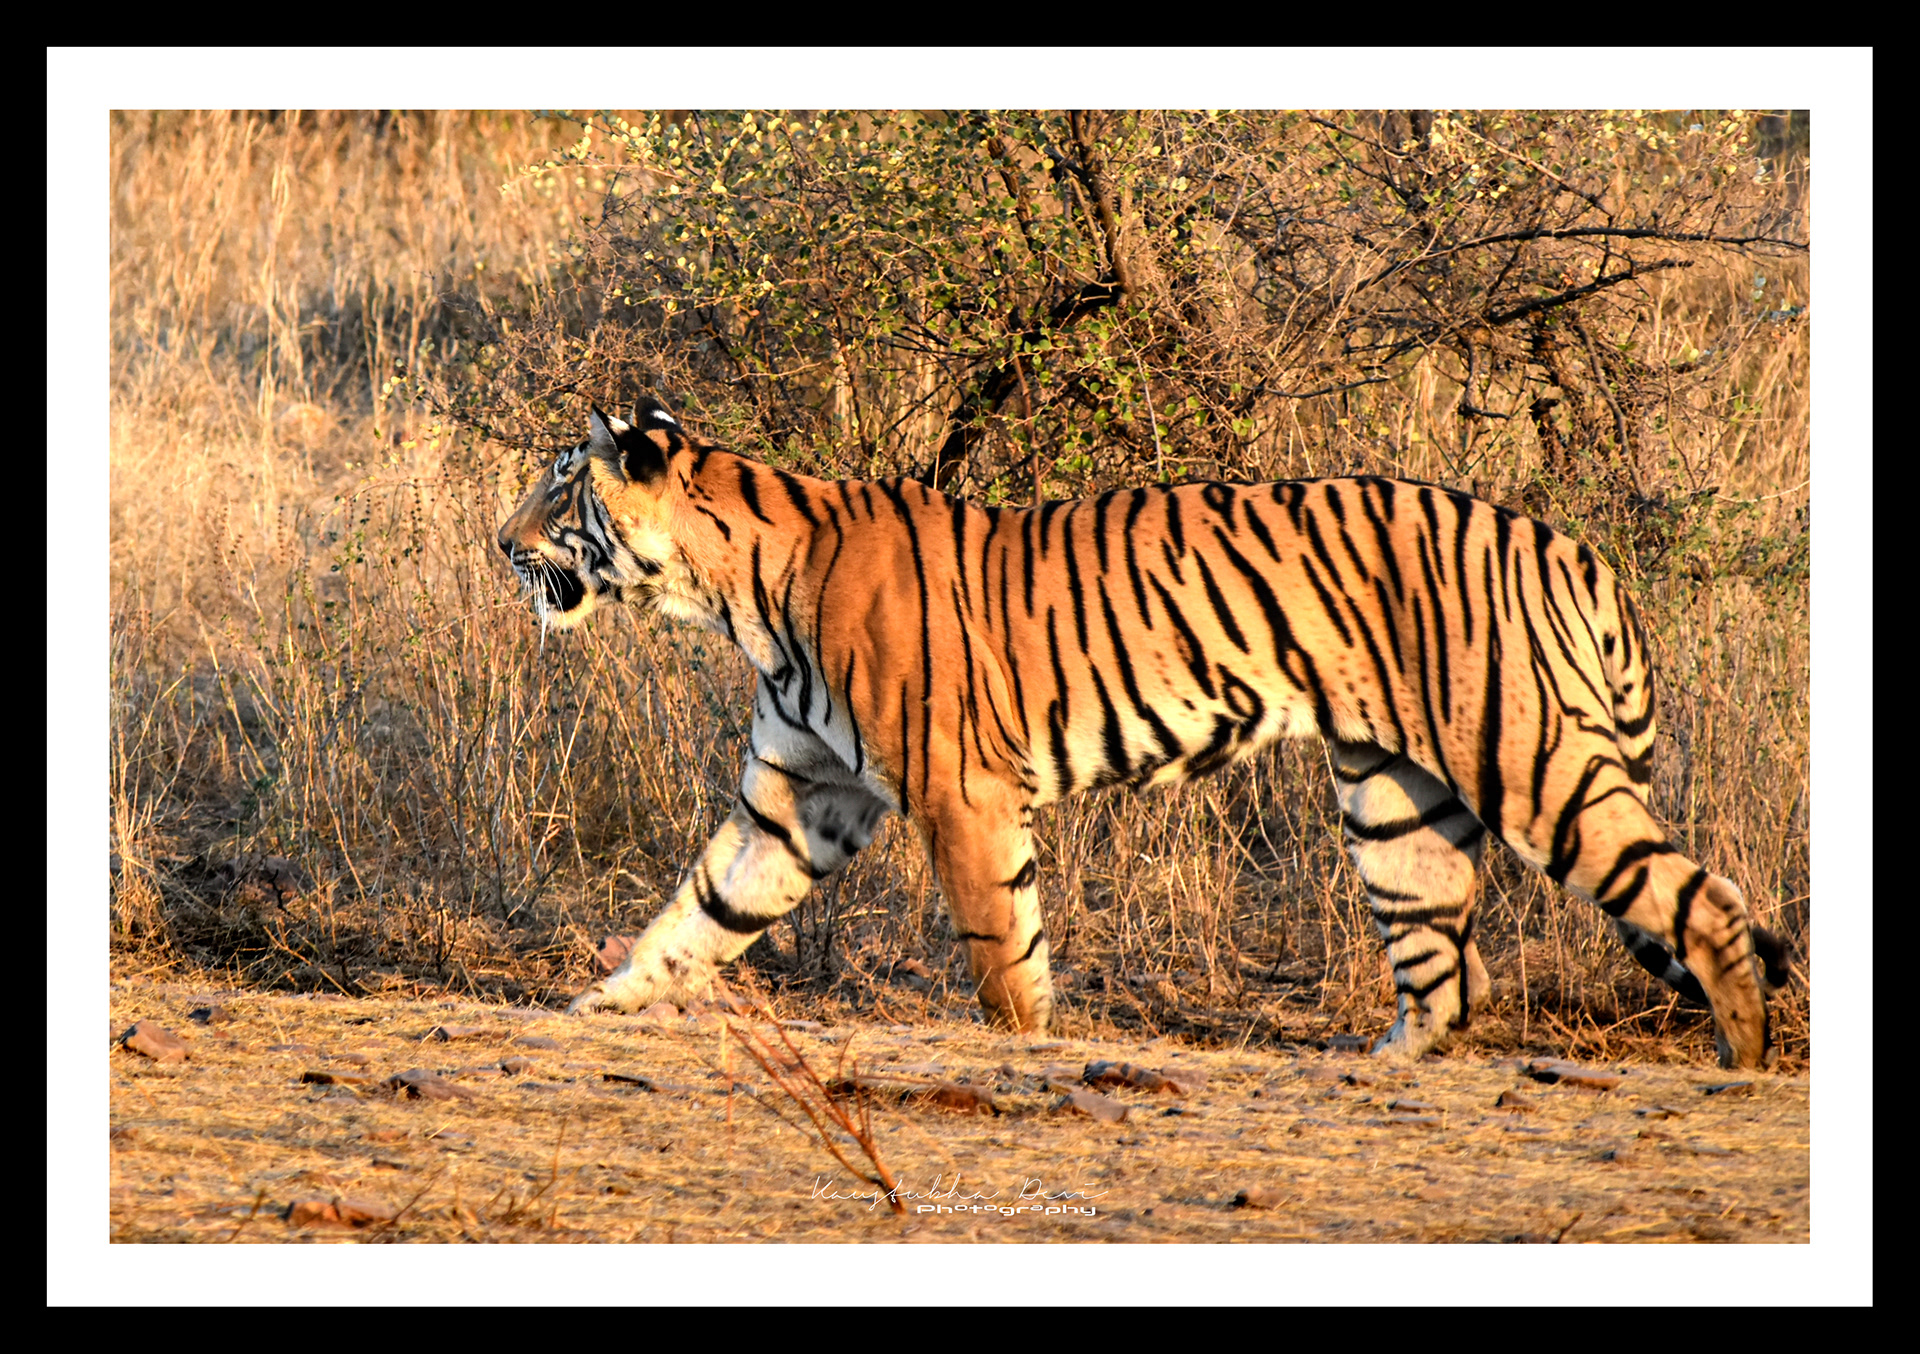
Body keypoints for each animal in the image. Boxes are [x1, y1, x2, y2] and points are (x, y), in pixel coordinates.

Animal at [497, 396, 1789, 1068]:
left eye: (562, 489)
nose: (500, 540)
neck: (730, 588)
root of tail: (1568, 542)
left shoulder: (958, 792)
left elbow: (1000, 946)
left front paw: (1030, 1046)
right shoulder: (800, 794)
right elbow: (702, 910)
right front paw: (603, 1005)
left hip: (1532, 763)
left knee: (1700, 900)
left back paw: (1747, 1058)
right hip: (1395, 800)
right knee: (1444, 971)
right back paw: (1378, 1067)